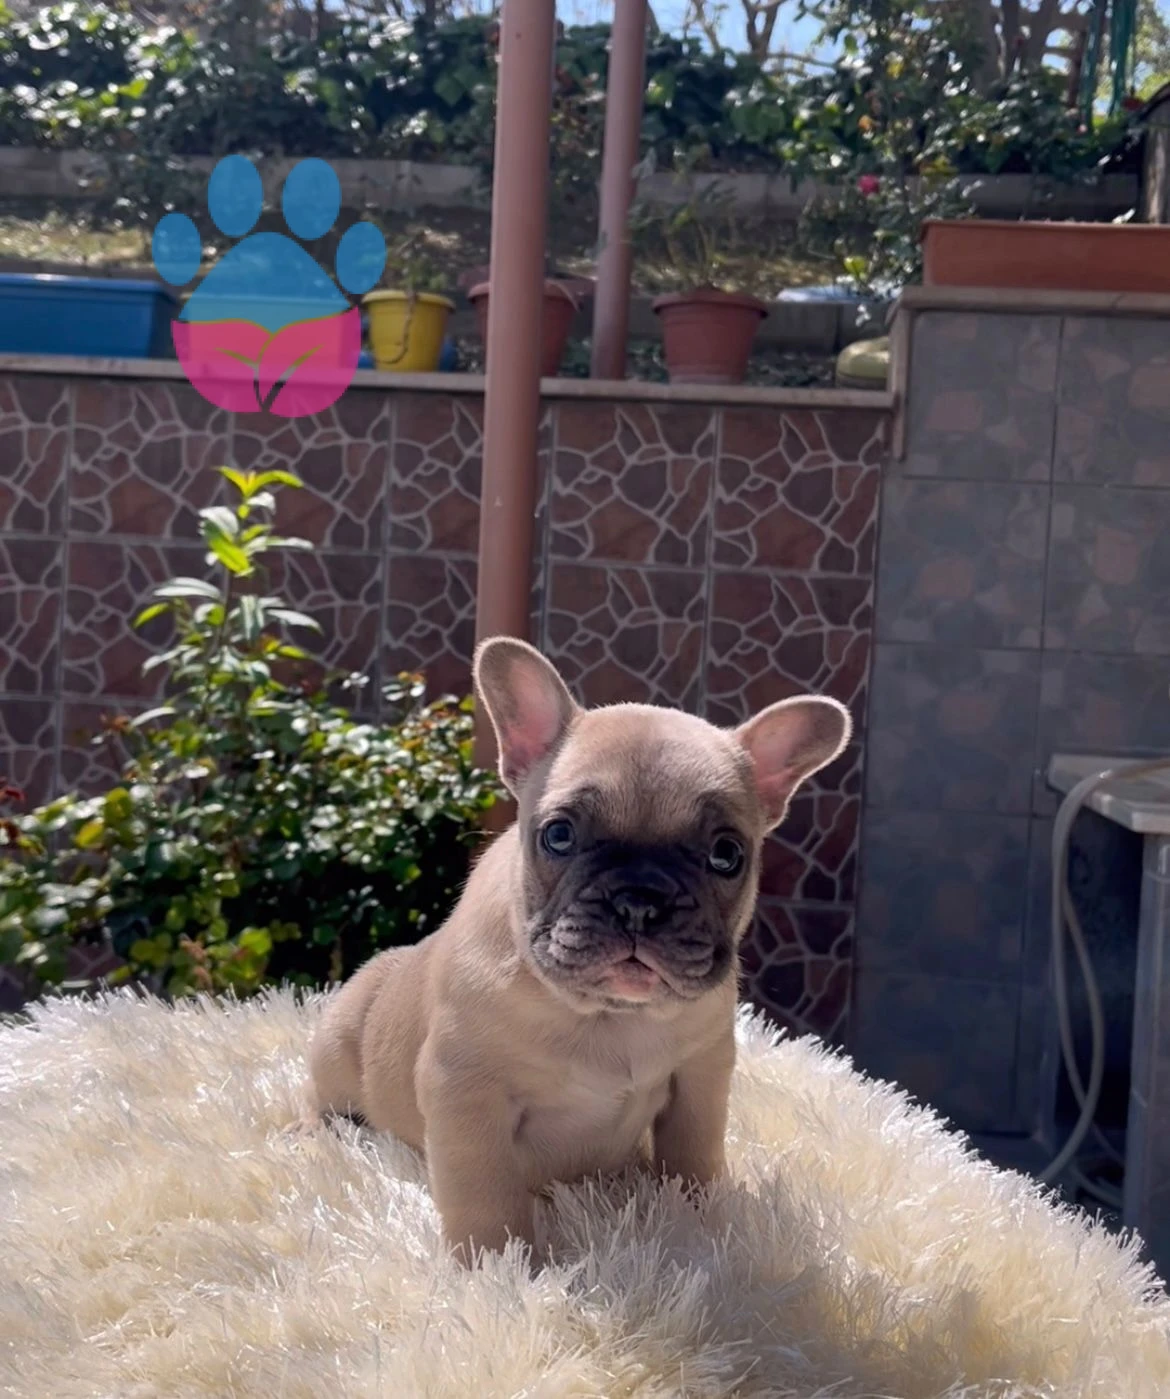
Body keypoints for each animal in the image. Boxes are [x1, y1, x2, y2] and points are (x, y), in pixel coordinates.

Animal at [306, 637, 850, 1263]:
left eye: (727, 855)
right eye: (559, 835)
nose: (639, 900)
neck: (610, 1016)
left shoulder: (701, 1075)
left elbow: (692, 1153)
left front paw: (701, 1223)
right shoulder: (466, 1094)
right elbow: (485, 1191)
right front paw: (496, 1266)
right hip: (338, 1047)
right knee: (323, 1098)